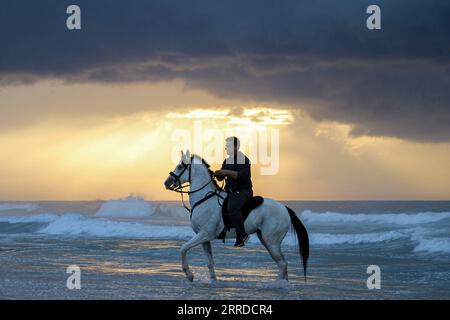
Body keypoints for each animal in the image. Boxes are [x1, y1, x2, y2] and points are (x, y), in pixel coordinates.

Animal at [165, 150, 310, 282]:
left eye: (180, 166)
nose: (166, 183)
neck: (205, 199)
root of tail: (285, 209)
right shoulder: (204, 238)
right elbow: (210, 262)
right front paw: (213, 281)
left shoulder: (205, 234)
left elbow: (183, 248)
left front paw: (189, 275)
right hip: (266, 240)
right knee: (282, 264)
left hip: (271, 241)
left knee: (282, 263)